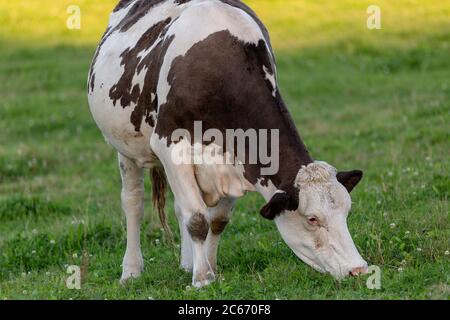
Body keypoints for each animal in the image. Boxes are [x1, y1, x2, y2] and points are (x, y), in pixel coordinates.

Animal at [89, 0, 370, 288]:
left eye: (347, 210)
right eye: (312, 218)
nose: (358, 269)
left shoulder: (237, 159)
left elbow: (217, 220)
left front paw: (209, 268)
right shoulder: (170, 146)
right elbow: (197, 219)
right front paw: (202, 280)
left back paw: (187, 264)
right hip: (125, 147)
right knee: (133, 203)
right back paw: (131, 271)